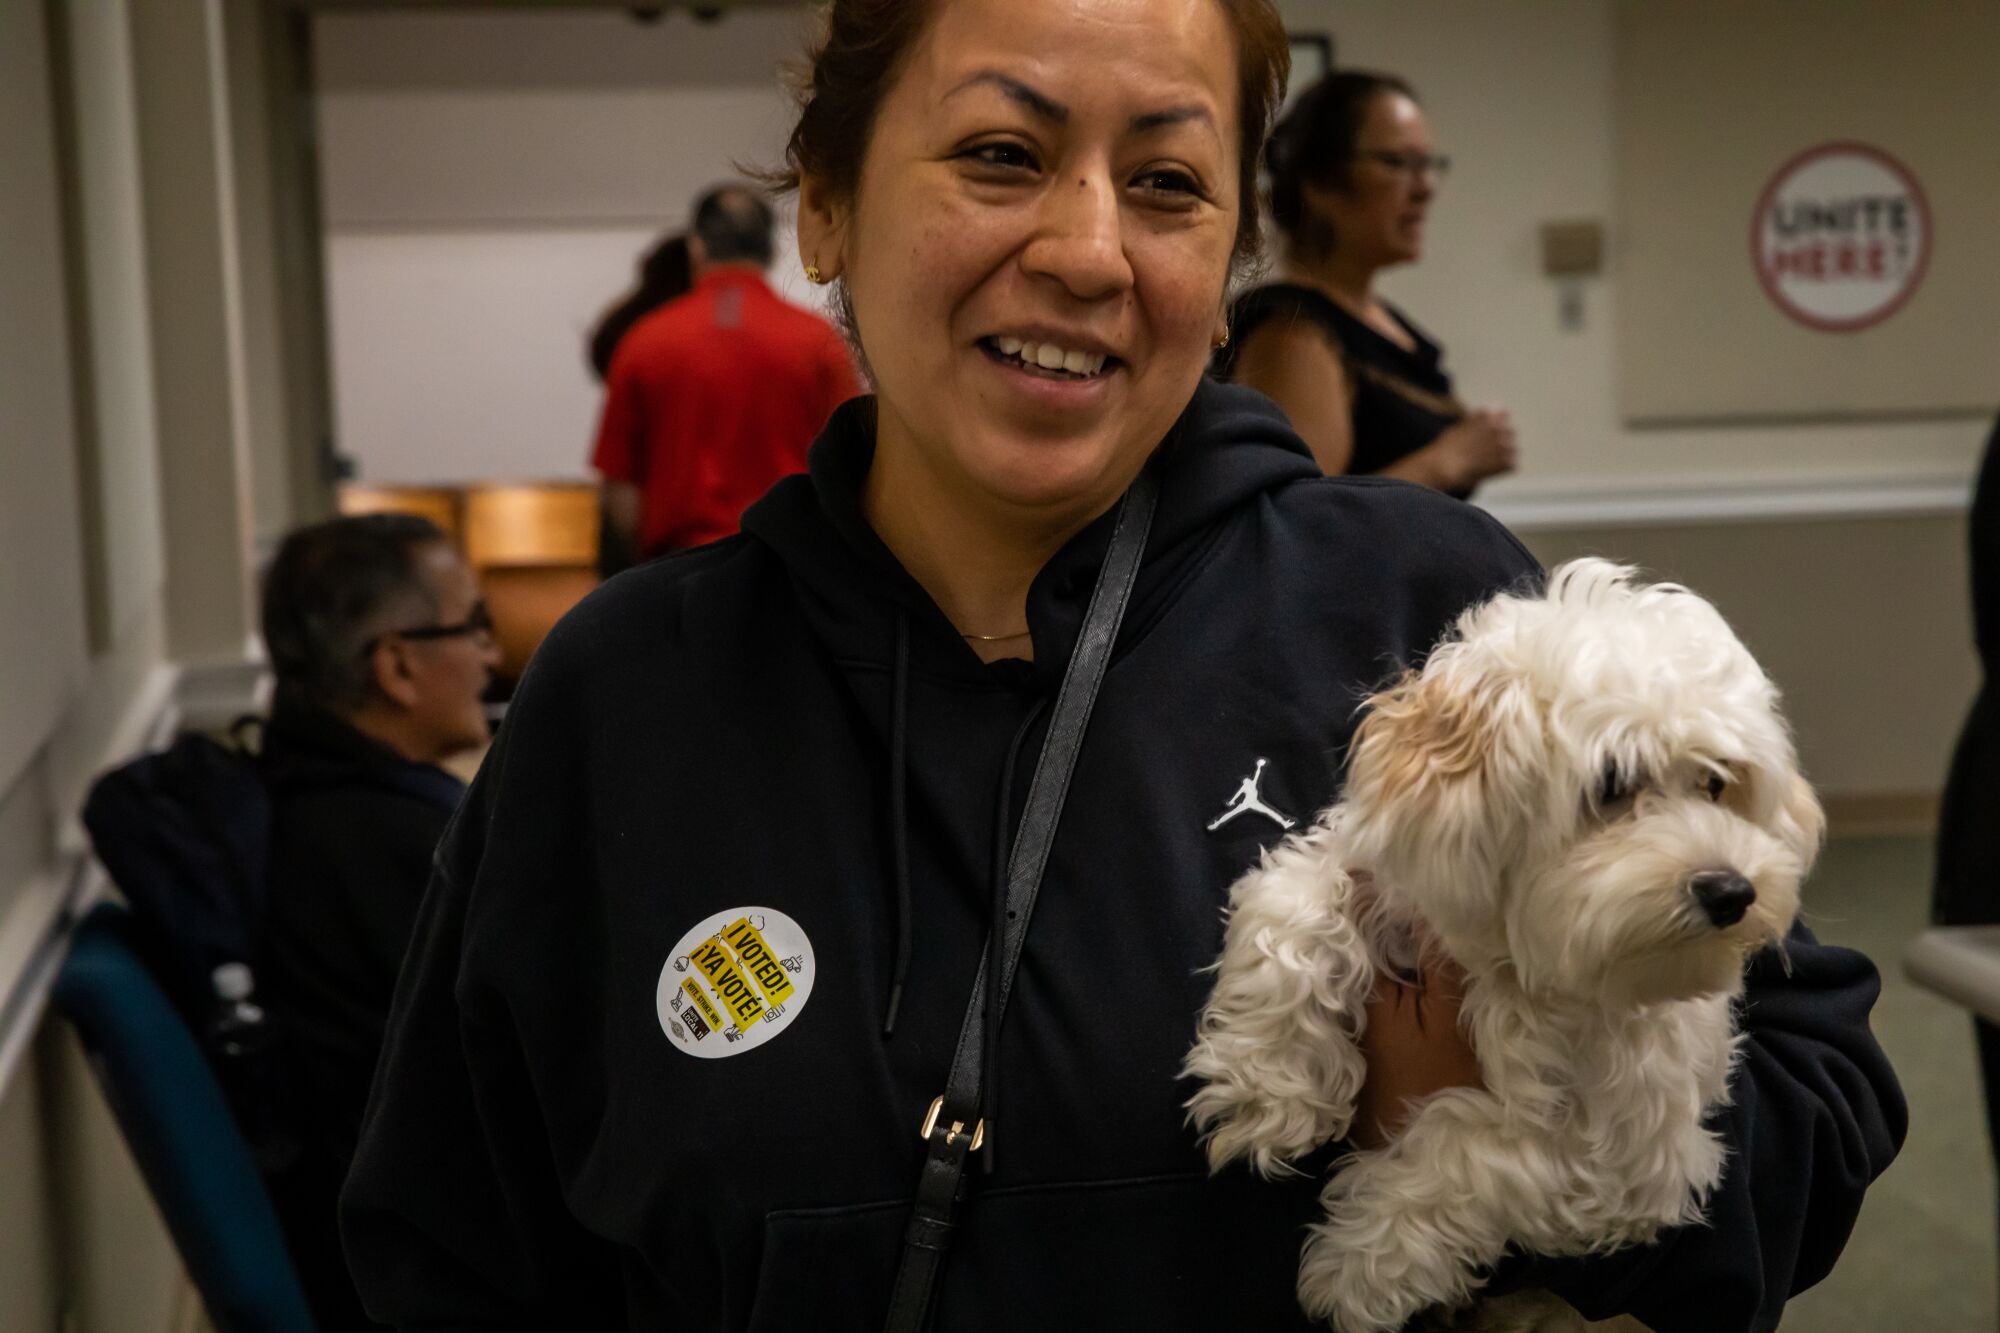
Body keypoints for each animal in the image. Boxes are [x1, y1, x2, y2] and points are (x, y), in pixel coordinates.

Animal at [1184, 556, 1832, 1328]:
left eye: (1716, 782)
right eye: (1612, 784)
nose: (1733, 891)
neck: (1517, 961)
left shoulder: (1632, 1162)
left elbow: (1467, 1144)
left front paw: (1359, 1270)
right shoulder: (1386, 876)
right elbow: (1288, 900)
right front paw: (1268, 1087)